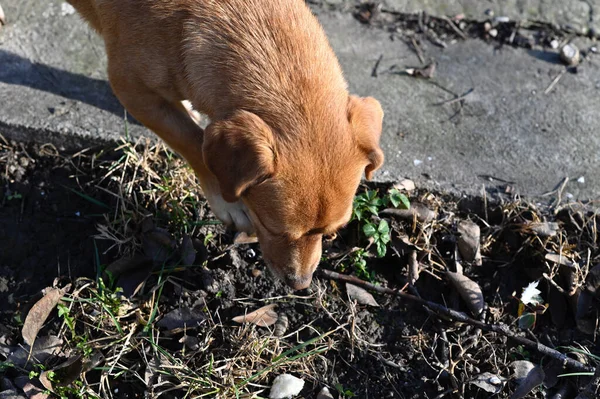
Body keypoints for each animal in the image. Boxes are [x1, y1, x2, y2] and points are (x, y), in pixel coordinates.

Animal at [65, 0, 384, 290]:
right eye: (270, 227)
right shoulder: (130, 89)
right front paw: (226, 201)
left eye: (332, 233)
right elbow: (193, 141)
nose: (300, 285)